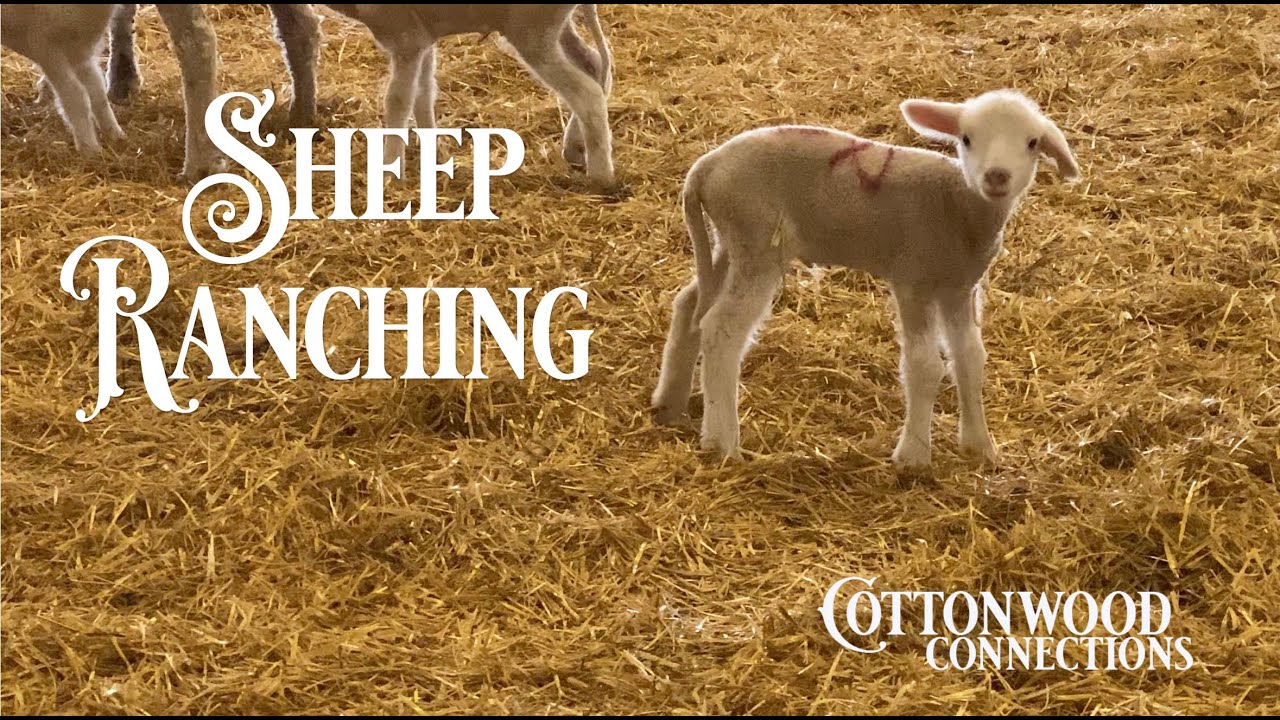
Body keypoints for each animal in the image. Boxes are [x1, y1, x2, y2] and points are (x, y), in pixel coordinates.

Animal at [1, 4, 125, 157]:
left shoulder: (79, 49)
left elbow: (97, 90)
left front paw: (114, 133)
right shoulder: (47, 46)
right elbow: (75, 94)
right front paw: (88, 146)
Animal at [323, 4, 617, 192]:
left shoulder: (405, 38)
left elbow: (398, 100)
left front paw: (390, 172)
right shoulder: (422, 39)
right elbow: (423, 93)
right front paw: (432, 151)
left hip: (531, 28)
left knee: (587, 92)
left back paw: (601, 176)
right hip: (553, 28)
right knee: (593, 64)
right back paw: (576, 148)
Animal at [650, 89, 1081, 470]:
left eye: (1032, 142)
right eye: (967, 138)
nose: (996, 176)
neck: (956, 204)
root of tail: (705, 168)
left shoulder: (960, 288)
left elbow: (970, 360)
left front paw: (980, 447)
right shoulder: (913, 280)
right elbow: (924, 365)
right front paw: (913, 457)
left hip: (731, 242)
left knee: (689, 304)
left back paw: (669, 403)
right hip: (756, 240)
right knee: (721, 329)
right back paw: (722, 442)